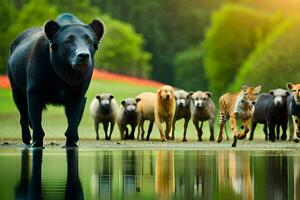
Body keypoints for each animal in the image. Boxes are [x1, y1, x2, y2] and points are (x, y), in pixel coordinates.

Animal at [7, 13, 104, 147]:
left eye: (89, 40)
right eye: (68, 41)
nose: (83, 55)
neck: (65, 71)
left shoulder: (78, 95)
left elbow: (73, 122)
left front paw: (71, 142)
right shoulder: (34, 92)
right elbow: (37, 122)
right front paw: (36, 143)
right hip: (16, 90)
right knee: (23, 115)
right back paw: (26, 139)